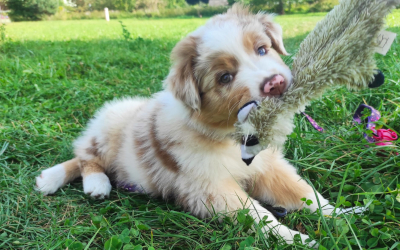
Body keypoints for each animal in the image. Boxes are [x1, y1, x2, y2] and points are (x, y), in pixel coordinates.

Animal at [36, 4, 360, 248]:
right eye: (225, 78)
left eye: (262, 49)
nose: (276, 83)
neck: (229, 136)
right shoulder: (211, 187)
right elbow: (260, 215)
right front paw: (297, 239)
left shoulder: (269, 166)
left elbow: (303, 192)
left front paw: (344, 213)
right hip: (110, 126)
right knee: (84, 155)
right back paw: (80, 182)